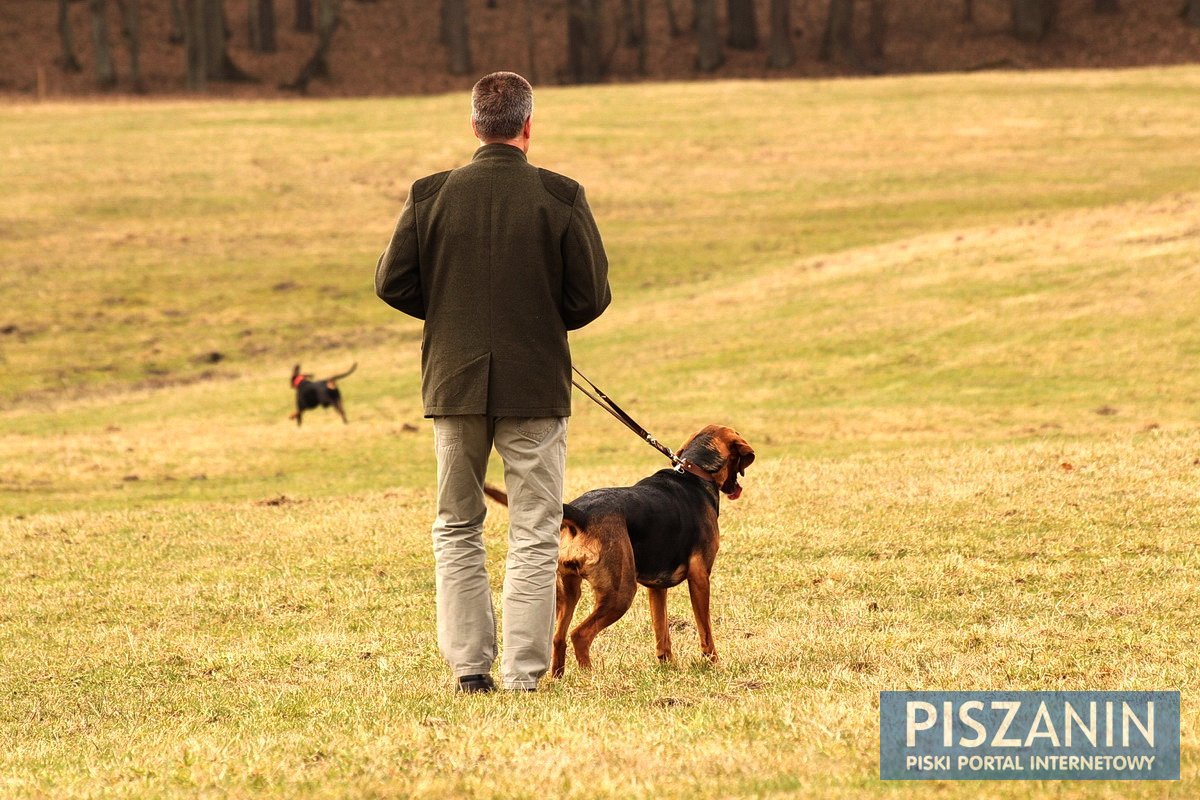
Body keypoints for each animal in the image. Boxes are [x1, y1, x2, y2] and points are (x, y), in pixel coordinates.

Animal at [480, 422, 748, 681]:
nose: (737, 488)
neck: (695, 471)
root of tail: (582, 513)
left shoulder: (656, 587)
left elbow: (661, 631)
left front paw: (668, 666)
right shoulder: (700, 578)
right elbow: (705, 629)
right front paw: (713, 664)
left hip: (568, 591)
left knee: (559, 637)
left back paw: (557, 679)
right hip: (620, 593)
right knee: (580, 635)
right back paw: (590, 677)